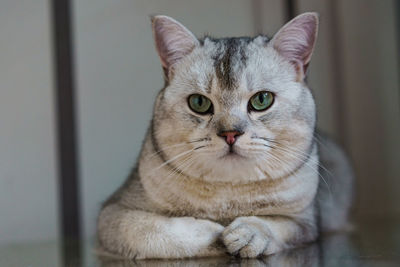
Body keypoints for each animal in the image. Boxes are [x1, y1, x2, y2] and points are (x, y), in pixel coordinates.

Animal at [97, 12, 354, 260]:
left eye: (262, 100)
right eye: (199, 103)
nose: (230, 134)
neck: (229, 196)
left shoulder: (308, 221)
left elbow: (277, 223)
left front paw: (248, 233)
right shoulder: (112, 214)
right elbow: (150, 230)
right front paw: (213, 231)